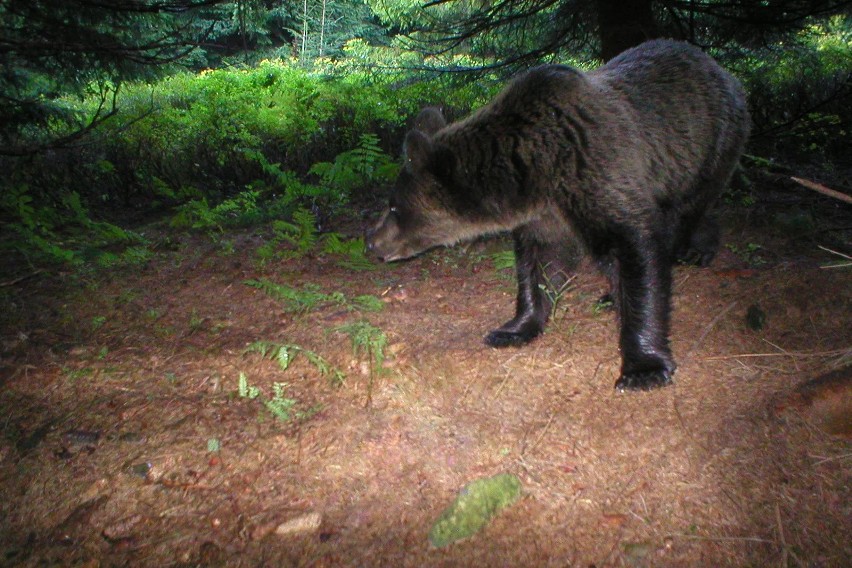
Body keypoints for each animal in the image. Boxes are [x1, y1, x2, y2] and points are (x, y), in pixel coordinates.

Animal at [362, 38, 748, 390]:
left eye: (394, 206)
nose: (371, 242)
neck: (536, 171)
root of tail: (724, 71)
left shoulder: (594, 170)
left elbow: (632, 245)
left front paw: (643, 367)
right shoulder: (545, 214)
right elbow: (538, 264)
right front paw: (514, 328)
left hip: (707, 145)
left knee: (684, 212)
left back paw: (687, 254)